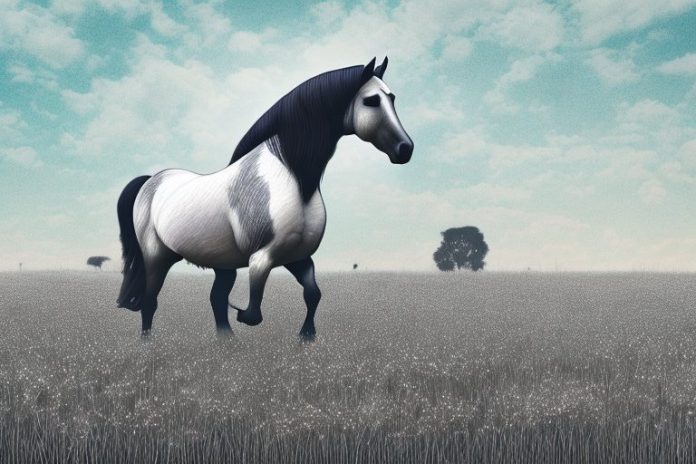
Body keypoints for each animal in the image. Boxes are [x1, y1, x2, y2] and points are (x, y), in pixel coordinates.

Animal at [116, 57, 413, 339]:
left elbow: (313, 295)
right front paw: (245, 314)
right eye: (371, 100)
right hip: (156, 256)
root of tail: (151, 181)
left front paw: (306, 337)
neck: (294, 179)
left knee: (215, 299)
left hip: (221, 263)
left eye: (392, 98)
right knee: (150, 302)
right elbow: (254, 313)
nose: (405, 148)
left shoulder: (298, 257)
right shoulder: (262, 258)